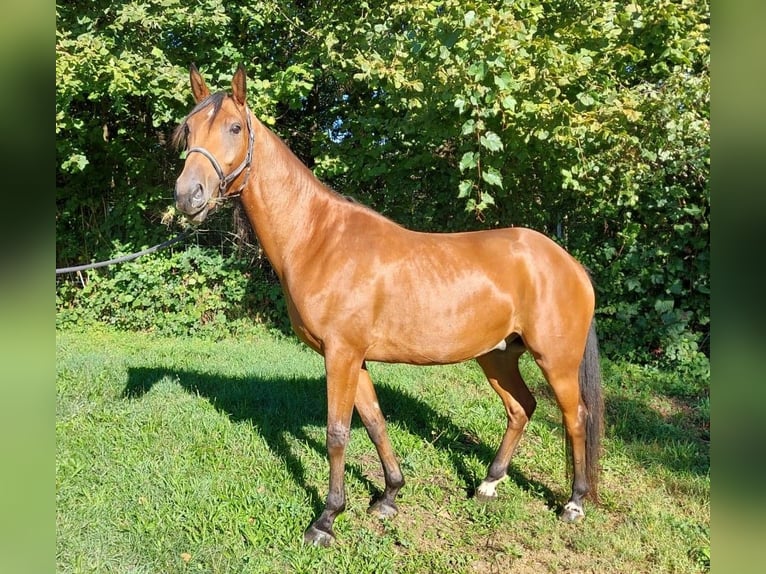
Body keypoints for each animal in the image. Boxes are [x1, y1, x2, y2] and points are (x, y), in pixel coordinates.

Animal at [173, 64, 604, 547]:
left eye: (234, 127)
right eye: (189, 128)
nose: (188, 195)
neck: (318, 238)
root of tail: (569, 263)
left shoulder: (341, 355)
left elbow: (338, 433)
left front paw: (326, 519)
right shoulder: (352, 357)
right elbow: (375, 421)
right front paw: (389, 496)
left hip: (556, 362)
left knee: (575, 417)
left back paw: (574, 503)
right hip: (497, 357)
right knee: (521, 408)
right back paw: (488, 484)